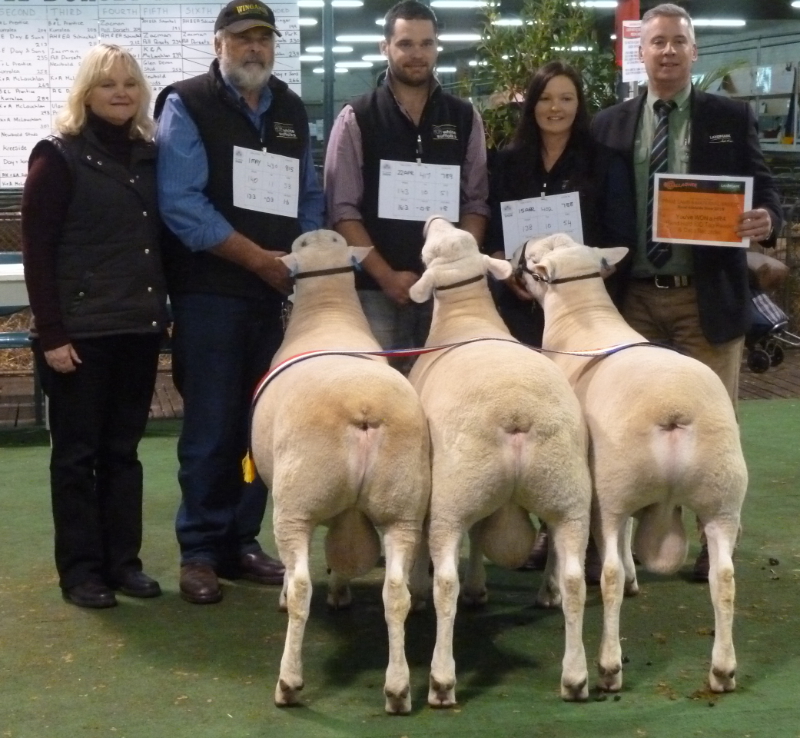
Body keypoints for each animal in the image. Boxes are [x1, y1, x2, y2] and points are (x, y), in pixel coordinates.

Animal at [252, 230, 432, 712]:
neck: (328, 311)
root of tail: (364, 408)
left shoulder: (281, 491)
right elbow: (341, 553)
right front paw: (341, 591)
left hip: (299, 499)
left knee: (301, 586)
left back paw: (288, 682)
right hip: (402, 505)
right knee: (396, 592)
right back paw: (398, 688)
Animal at [410, 217, 592, 708]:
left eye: (431, 249)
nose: (432, 218)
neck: (465, 316)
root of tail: (517, 415)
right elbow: (480, 536)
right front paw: (481, 588)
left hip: (454, 493)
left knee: (446, 583)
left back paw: (441, 679)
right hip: (566, 492)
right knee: (574, 579)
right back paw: (575, 675)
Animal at [520, 234, 748, 688]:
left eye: (534, 258)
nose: (518, 253)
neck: (583, 318)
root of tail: (675, 409)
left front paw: (550, 591)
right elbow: (628, 537)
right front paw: (634, 576)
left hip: (614, 488)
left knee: (607, 573)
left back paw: (609, 665)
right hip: (722, 496)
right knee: (723, 577)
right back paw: (722, 669)